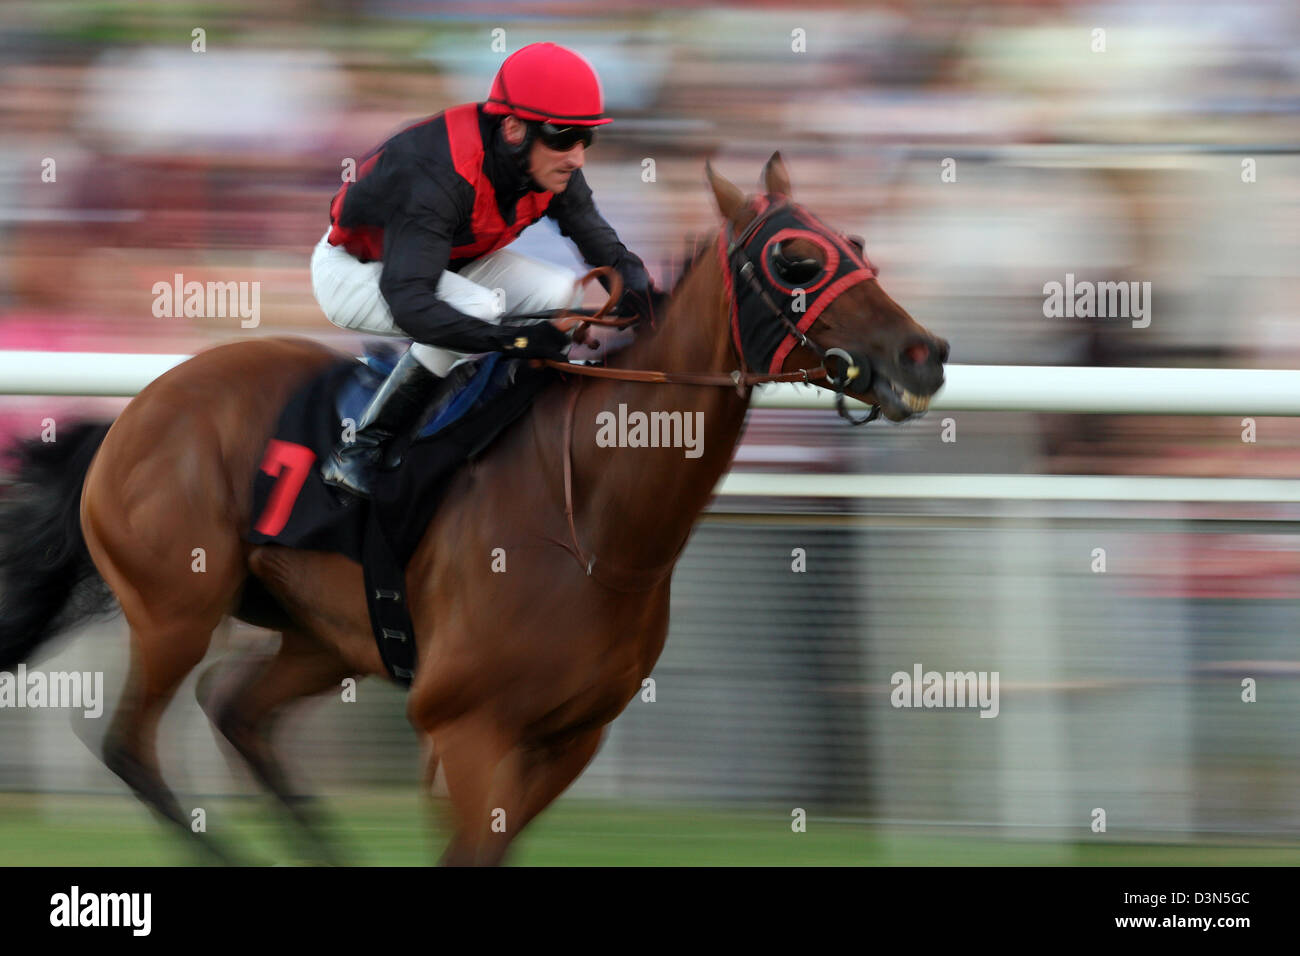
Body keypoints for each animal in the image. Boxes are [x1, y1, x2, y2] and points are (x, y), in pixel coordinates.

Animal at [0, 155, 946, 868]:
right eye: (796, 262)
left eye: (856, 242)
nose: (925, 354)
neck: (596, 519)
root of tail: (131, 413)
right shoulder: (468, 728)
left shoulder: (569, 739)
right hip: (177, 607)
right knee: (130, 744)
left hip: (323, 634)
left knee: (235, 706)